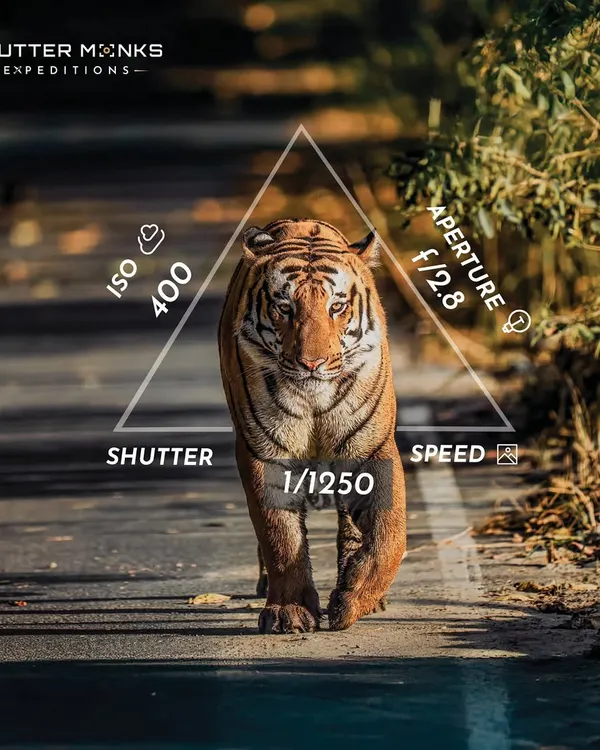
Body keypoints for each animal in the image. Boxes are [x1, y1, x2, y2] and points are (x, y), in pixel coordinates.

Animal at [218, 218, 406, 633]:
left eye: (336, 307)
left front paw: (353, 599)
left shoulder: (372, 446)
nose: (311, 364)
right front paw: (288, 611)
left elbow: (390, 534)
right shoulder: (265, 451)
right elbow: (279, 534)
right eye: (284, 308)